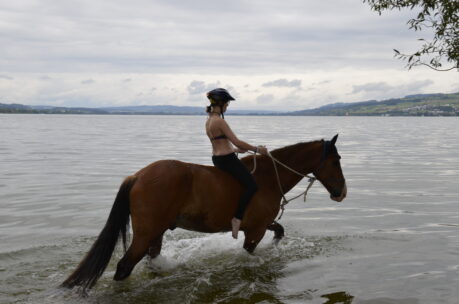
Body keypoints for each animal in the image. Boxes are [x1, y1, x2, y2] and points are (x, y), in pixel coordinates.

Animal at [62, 135, 348, 290]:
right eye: (336, 161)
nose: (342, 192)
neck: (268, 178)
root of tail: (138, 176)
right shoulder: (254, 230)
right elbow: (249, 253)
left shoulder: (260, 224)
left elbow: (280, 231)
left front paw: (275, 247)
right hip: (145, 233)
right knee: (124, 266)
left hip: (156, 233)